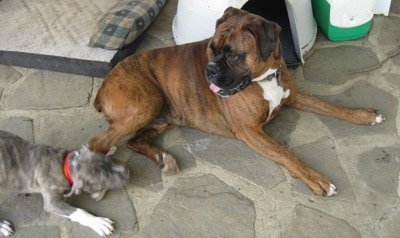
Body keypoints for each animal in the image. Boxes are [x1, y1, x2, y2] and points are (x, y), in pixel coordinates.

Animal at [0, 130, 129, 236]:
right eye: (104, 179)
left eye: (109, 162)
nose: (127, 172)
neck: (66, 165)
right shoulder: (52, 203)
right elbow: (79, 211)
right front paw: (98, 222)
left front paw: (108, 149)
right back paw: (2, 226)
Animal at [90, 7, 384, 197]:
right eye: (211, 49)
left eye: (232, 56)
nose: (209, 70)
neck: (265, 77)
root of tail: (103, 85)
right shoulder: (250, 131)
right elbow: (286, 154)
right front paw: (316, 179)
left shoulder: (295, 96)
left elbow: (330, 106)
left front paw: (364, 115)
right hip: (146, 102)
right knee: (98, 143)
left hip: (162, 118)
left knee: (133, 141)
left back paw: (164, 159)